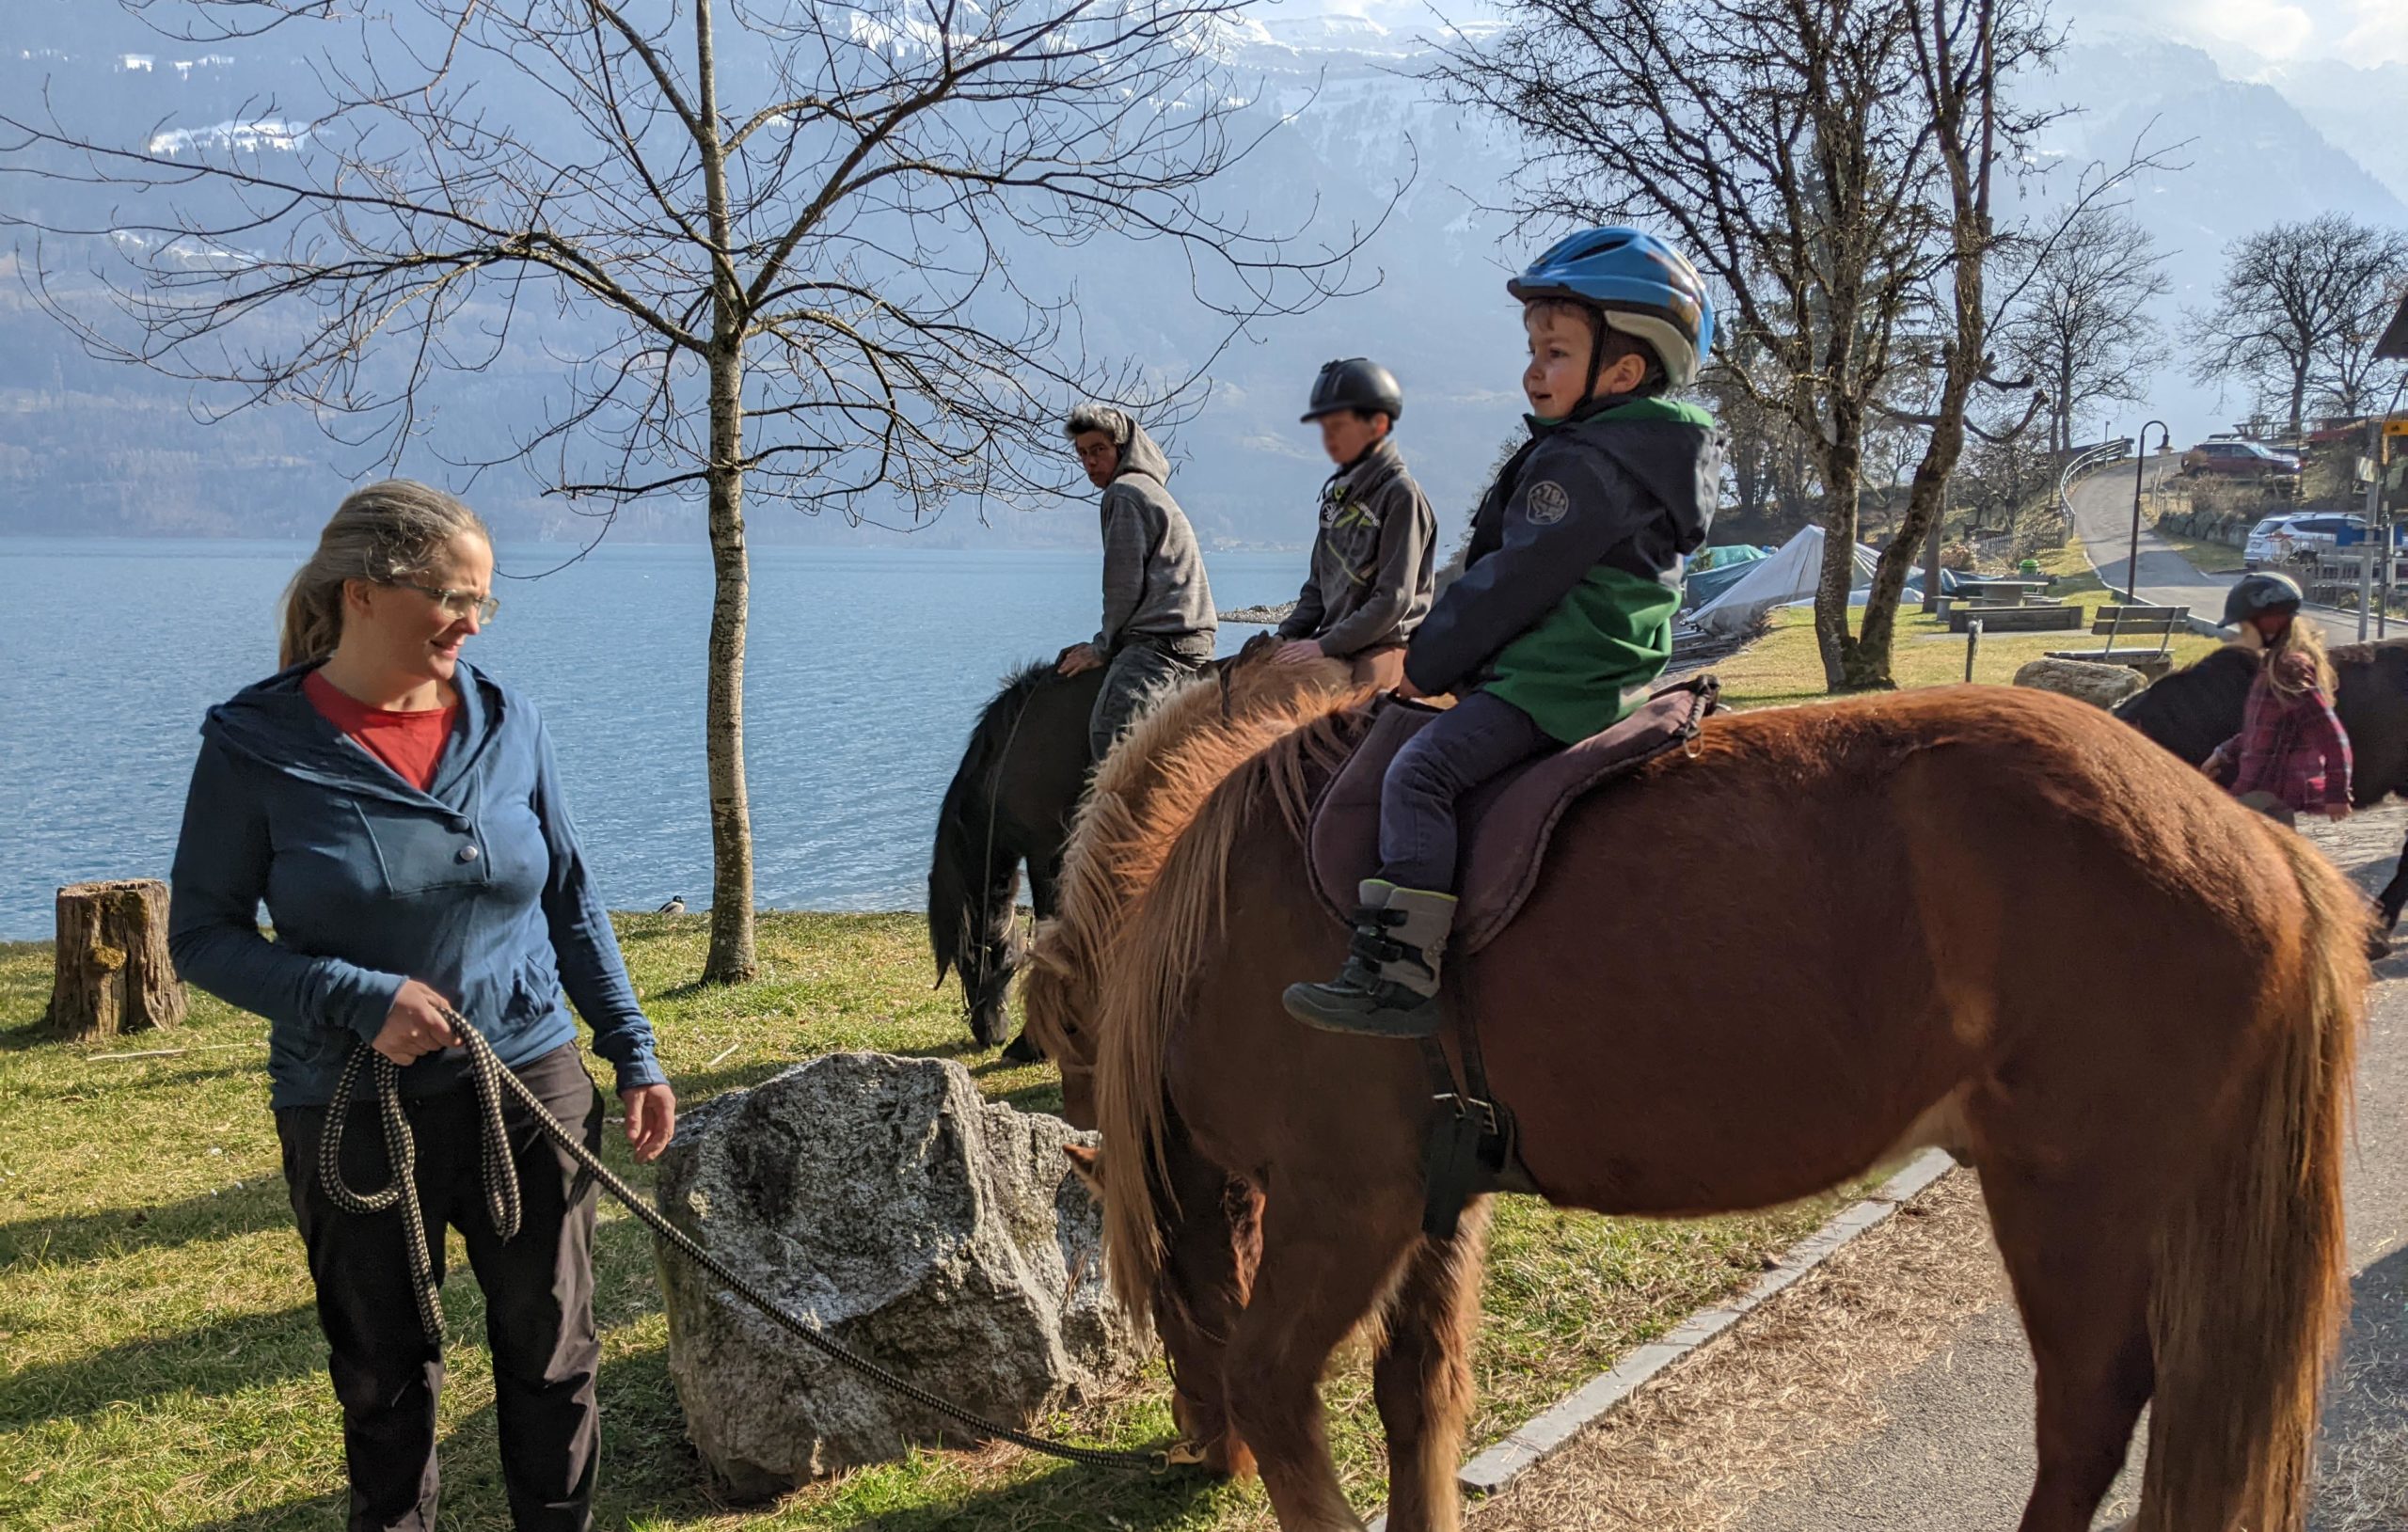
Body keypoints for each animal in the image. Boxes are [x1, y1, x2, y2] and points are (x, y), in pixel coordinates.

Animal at [1030, 679, 2350, 1532]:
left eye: (1156, 1313)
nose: (1200, 1458)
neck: (1219, 925)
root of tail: (2252, 844)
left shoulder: (1345, 1203)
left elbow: (1277, 1386)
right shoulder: (1436, 1202)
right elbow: (1417, 1394)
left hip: (2074, 1203)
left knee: (2083, 1420)